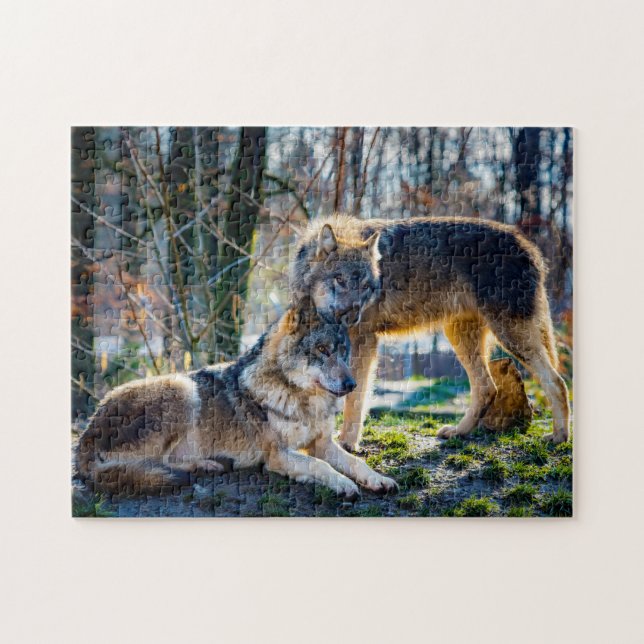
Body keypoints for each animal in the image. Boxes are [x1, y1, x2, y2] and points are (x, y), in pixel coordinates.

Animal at [76, 298, 397, 499]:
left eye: (343, 352)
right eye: (322, 350)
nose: (352, 384)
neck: (304, 400)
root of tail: (86, 436)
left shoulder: (322, 443)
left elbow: (356, 463)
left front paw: (377, 479)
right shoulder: (278, 455)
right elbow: (320, 466)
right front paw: (341, 484)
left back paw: (210, 464)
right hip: (182, 388)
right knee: (161, 464)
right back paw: (206, 466)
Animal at [291, 213, 570, 449]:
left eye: (366, 286)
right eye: (339, 279)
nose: (352, 316)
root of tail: (530, 246)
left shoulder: (364, 341)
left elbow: (355, 398)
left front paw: (347, 444)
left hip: (509, 335)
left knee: (557, 382)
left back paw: (559, 436)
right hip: (461, 336)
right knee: (487, 387)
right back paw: (458, 432)